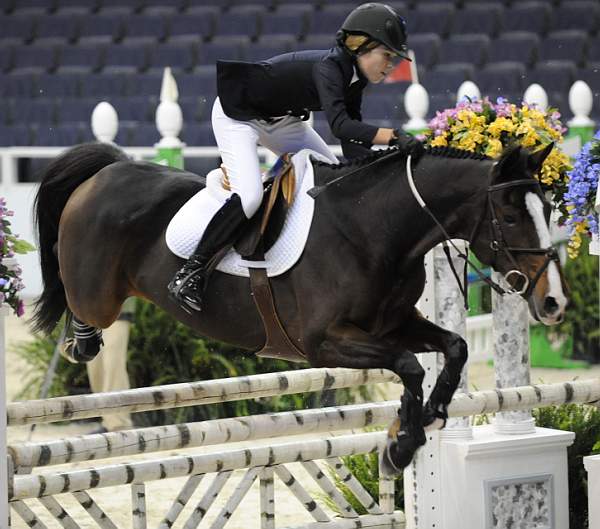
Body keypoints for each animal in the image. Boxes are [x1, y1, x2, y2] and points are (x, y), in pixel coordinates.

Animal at [31, 140, 568, 470]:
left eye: (548, 209)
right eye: (510, 216)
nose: (553, 302)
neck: (375, 230)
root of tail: (107, 170)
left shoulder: (395, 324)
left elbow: (453, 347)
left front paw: (429, 417)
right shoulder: (324, 343)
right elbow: (409, 365)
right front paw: (403, 444)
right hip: (98, 296)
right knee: (84, 314)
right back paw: (82, 343)